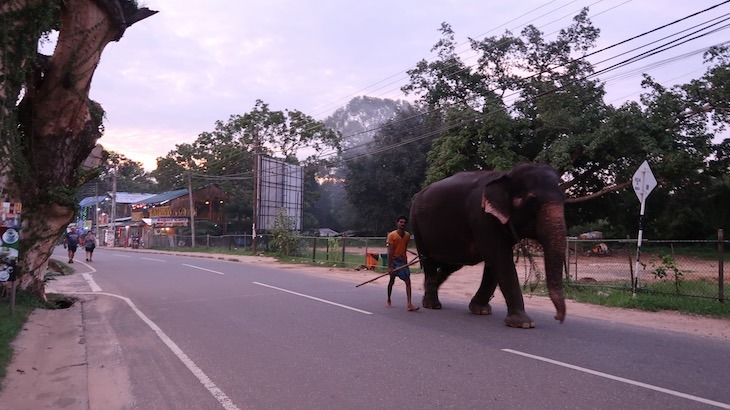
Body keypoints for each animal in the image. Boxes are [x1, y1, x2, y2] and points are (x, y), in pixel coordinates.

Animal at [406, 163, 564, 326]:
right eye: (532, 200)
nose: (558, 318)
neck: (506, 174)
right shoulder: (482, 218)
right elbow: (500, 258)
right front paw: (524, 323)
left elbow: (494, 261)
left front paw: (480, 310)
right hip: (416, 226)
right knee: (429, 261)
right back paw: (432, 304)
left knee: (452, 265)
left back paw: (427, 293)